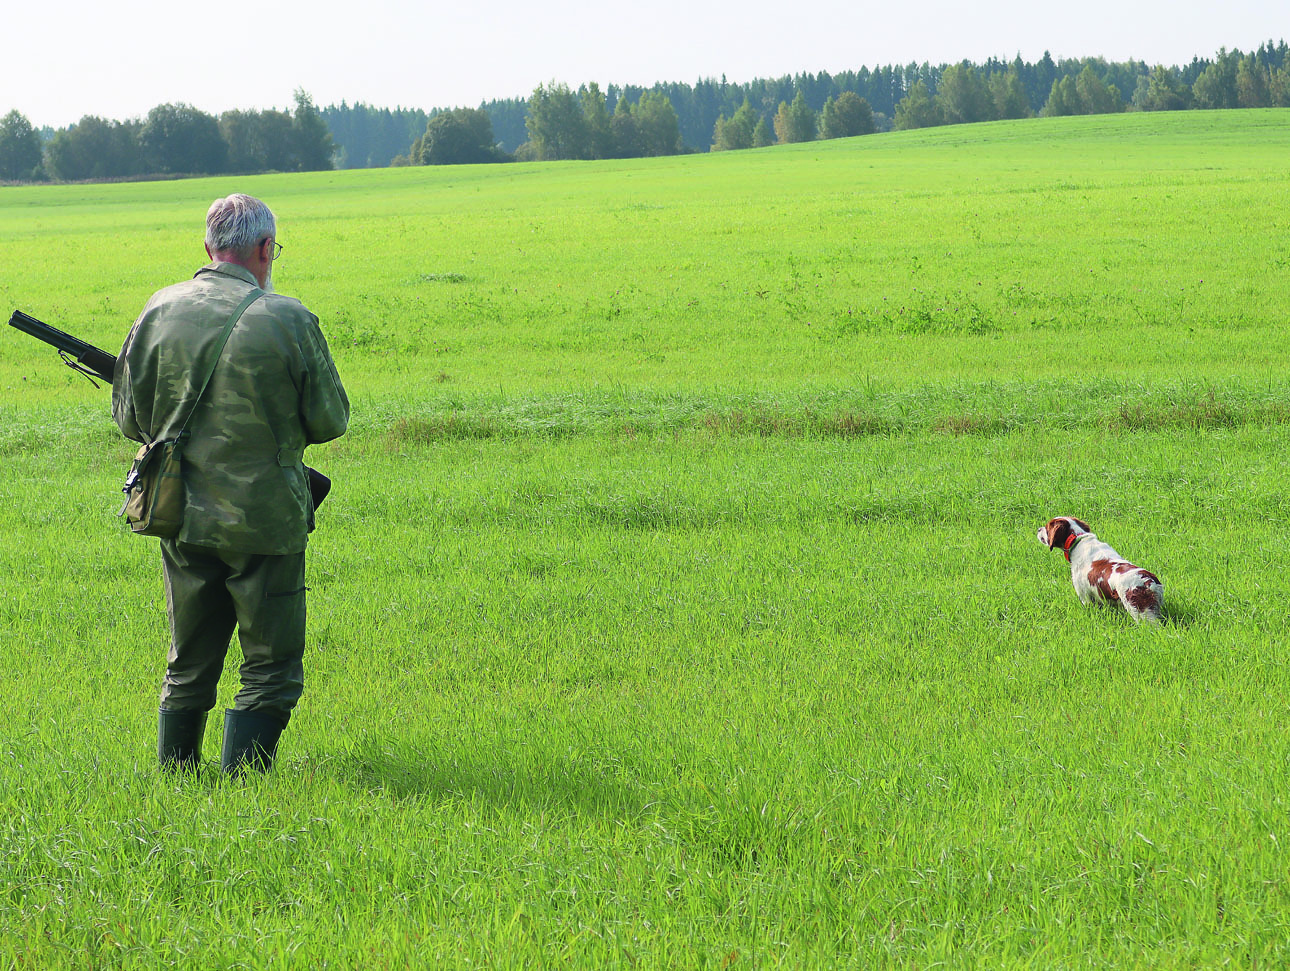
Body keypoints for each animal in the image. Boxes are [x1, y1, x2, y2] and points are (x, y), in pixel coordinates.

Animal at [1037, 518, 1171, 624]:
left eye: (1047, 527)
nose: (1038, 529)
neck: (1077, 539)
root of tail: (1148, 580)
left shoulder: (1085, 596)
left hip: (1140, 610)